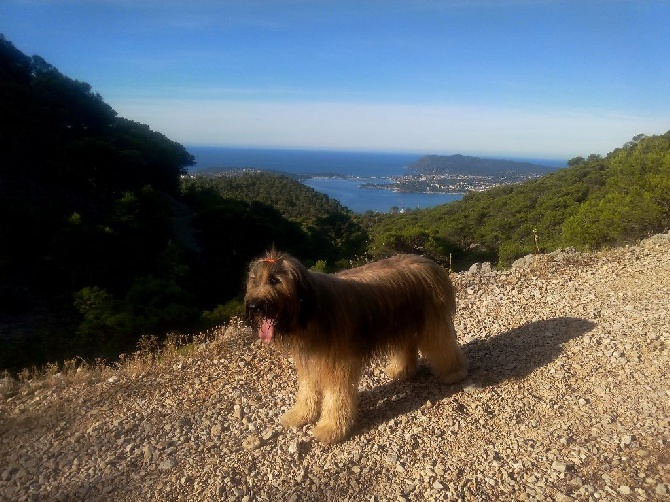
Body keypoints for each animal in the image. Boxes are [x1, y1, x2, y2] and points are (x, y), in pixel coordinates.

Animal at [244, 251, 470, 444]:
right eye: (254, 281)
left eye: (274, 280)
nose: (254, 306)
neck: (309, 309)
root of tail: (428, 262)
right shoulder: (308, 362)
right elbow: (307, 389)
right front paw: (300, 415)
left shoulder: (338, 365)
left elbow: (336, 397)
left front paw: (330, 429)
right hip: (401, 323)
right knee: (407, 345)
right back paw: (401, 370)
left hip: (431, 323)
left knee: (443, 345)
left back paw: (454, 372)